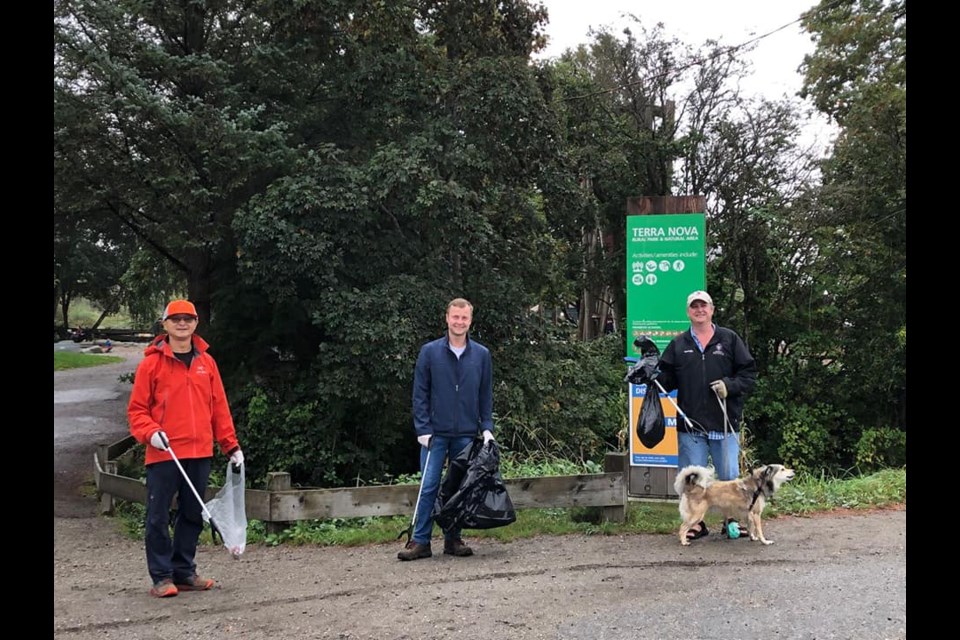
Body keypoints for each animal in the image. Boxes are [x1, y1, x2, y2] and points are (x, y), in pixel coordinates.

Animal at [672, 462, 800, 548]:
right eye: (782, 469)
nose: (794, 470)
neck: (759, 484)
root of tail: (692, 486)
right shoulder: (756, 514)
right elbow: (759, 530)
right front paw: (764, 541)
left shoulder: (749, 513)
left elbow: (750, 527)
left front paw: (752, 537)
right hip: (696, 516)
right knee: (682, 528)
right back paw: (684, 541)